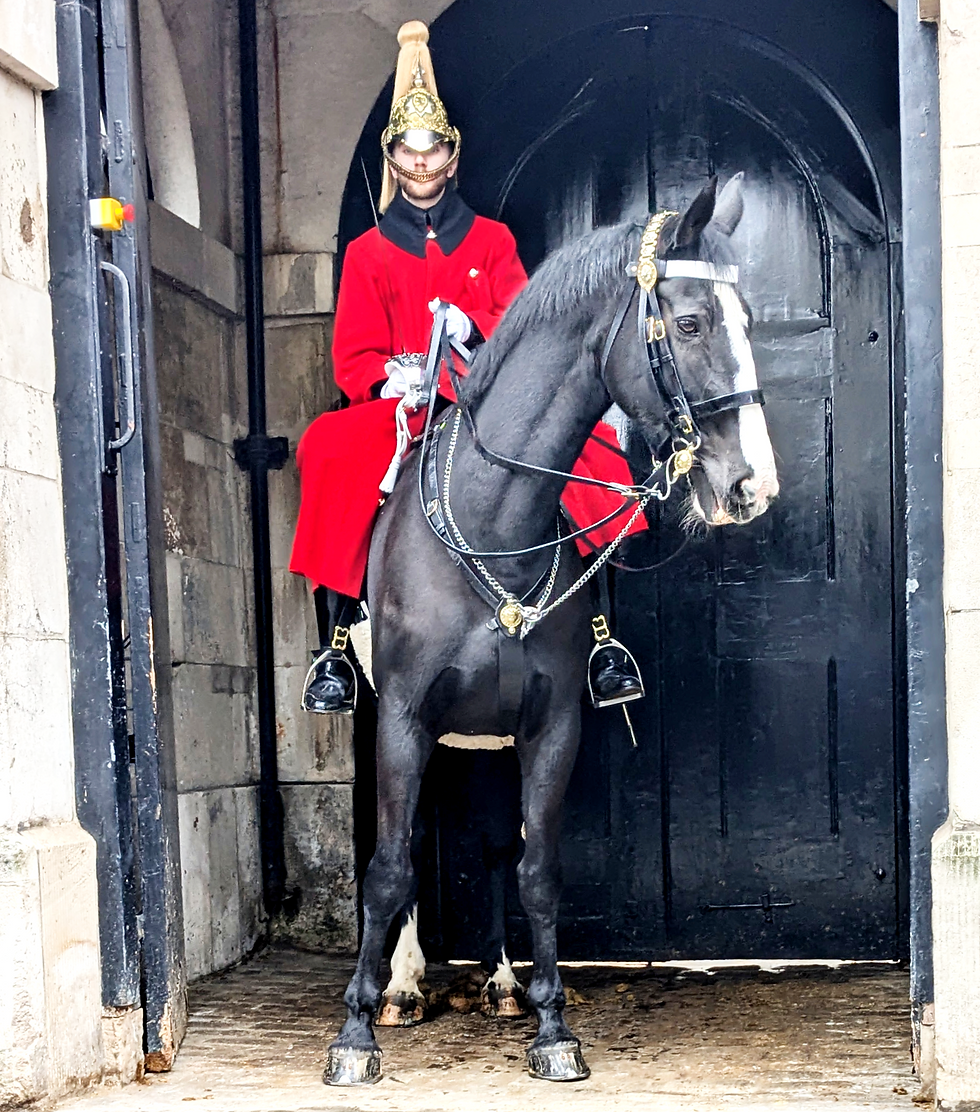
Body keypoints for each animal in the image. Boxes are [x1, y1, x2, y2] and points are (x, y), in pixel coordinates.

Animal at [324, 173, 779, 1086]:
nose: (752, 485)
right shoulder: (403, 719)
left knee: (496, 844)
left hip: (487, 737)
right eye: (689, 323)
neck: (493, 516)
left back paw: (499, 981)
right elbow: (388, 867)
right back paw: (403, 986)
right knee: (410, 845)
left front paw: (551, 1024)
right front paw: (355, 1030)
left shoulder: (548, 725)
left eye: (748, 319)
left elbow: (536, 868)